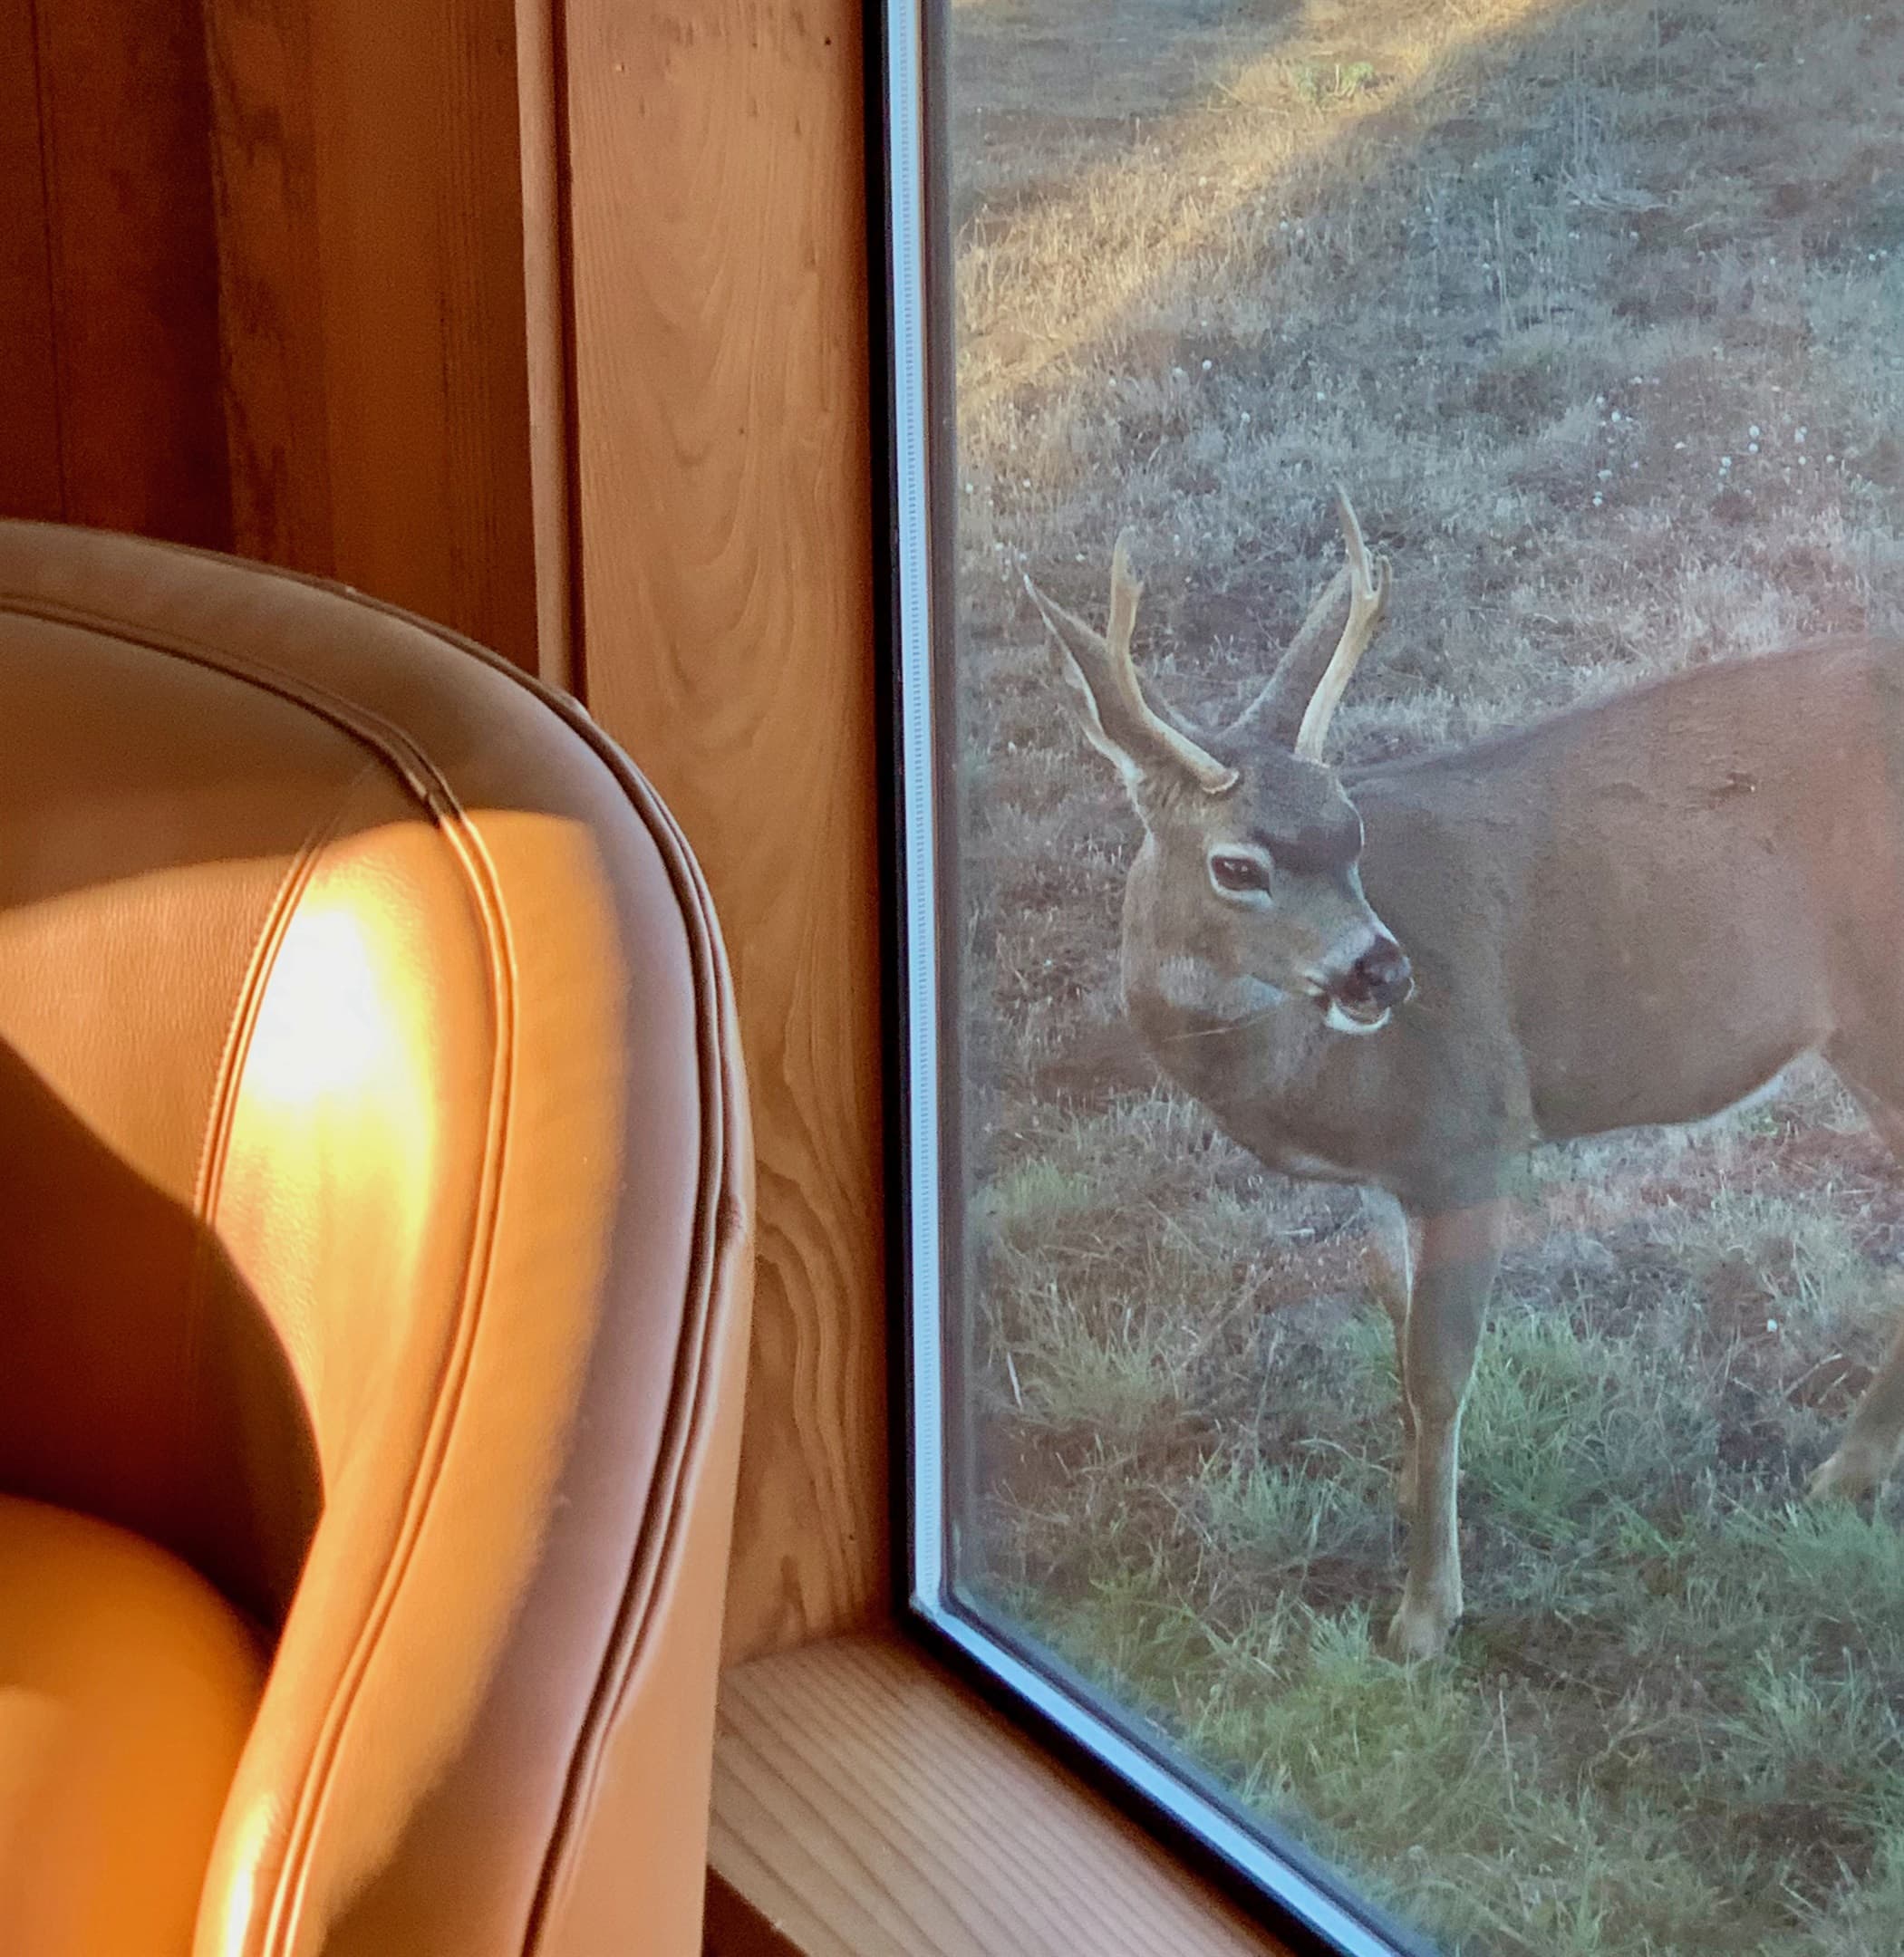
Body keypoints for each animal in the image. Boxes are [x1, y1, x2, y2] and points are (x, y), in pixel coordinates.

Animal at [1026, 493, 1904, 1660]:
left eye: (1351, 830)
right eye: (1236, 864)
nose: (1385, 972)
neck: (1306, 1082)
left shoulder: (1472, 1137)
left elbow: (1438, 1372)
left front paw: (1422, 1613)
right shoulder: (1377, 1178)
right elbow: (1392, 1324)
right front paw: (1408, 1501)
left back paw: (1842, 1469)